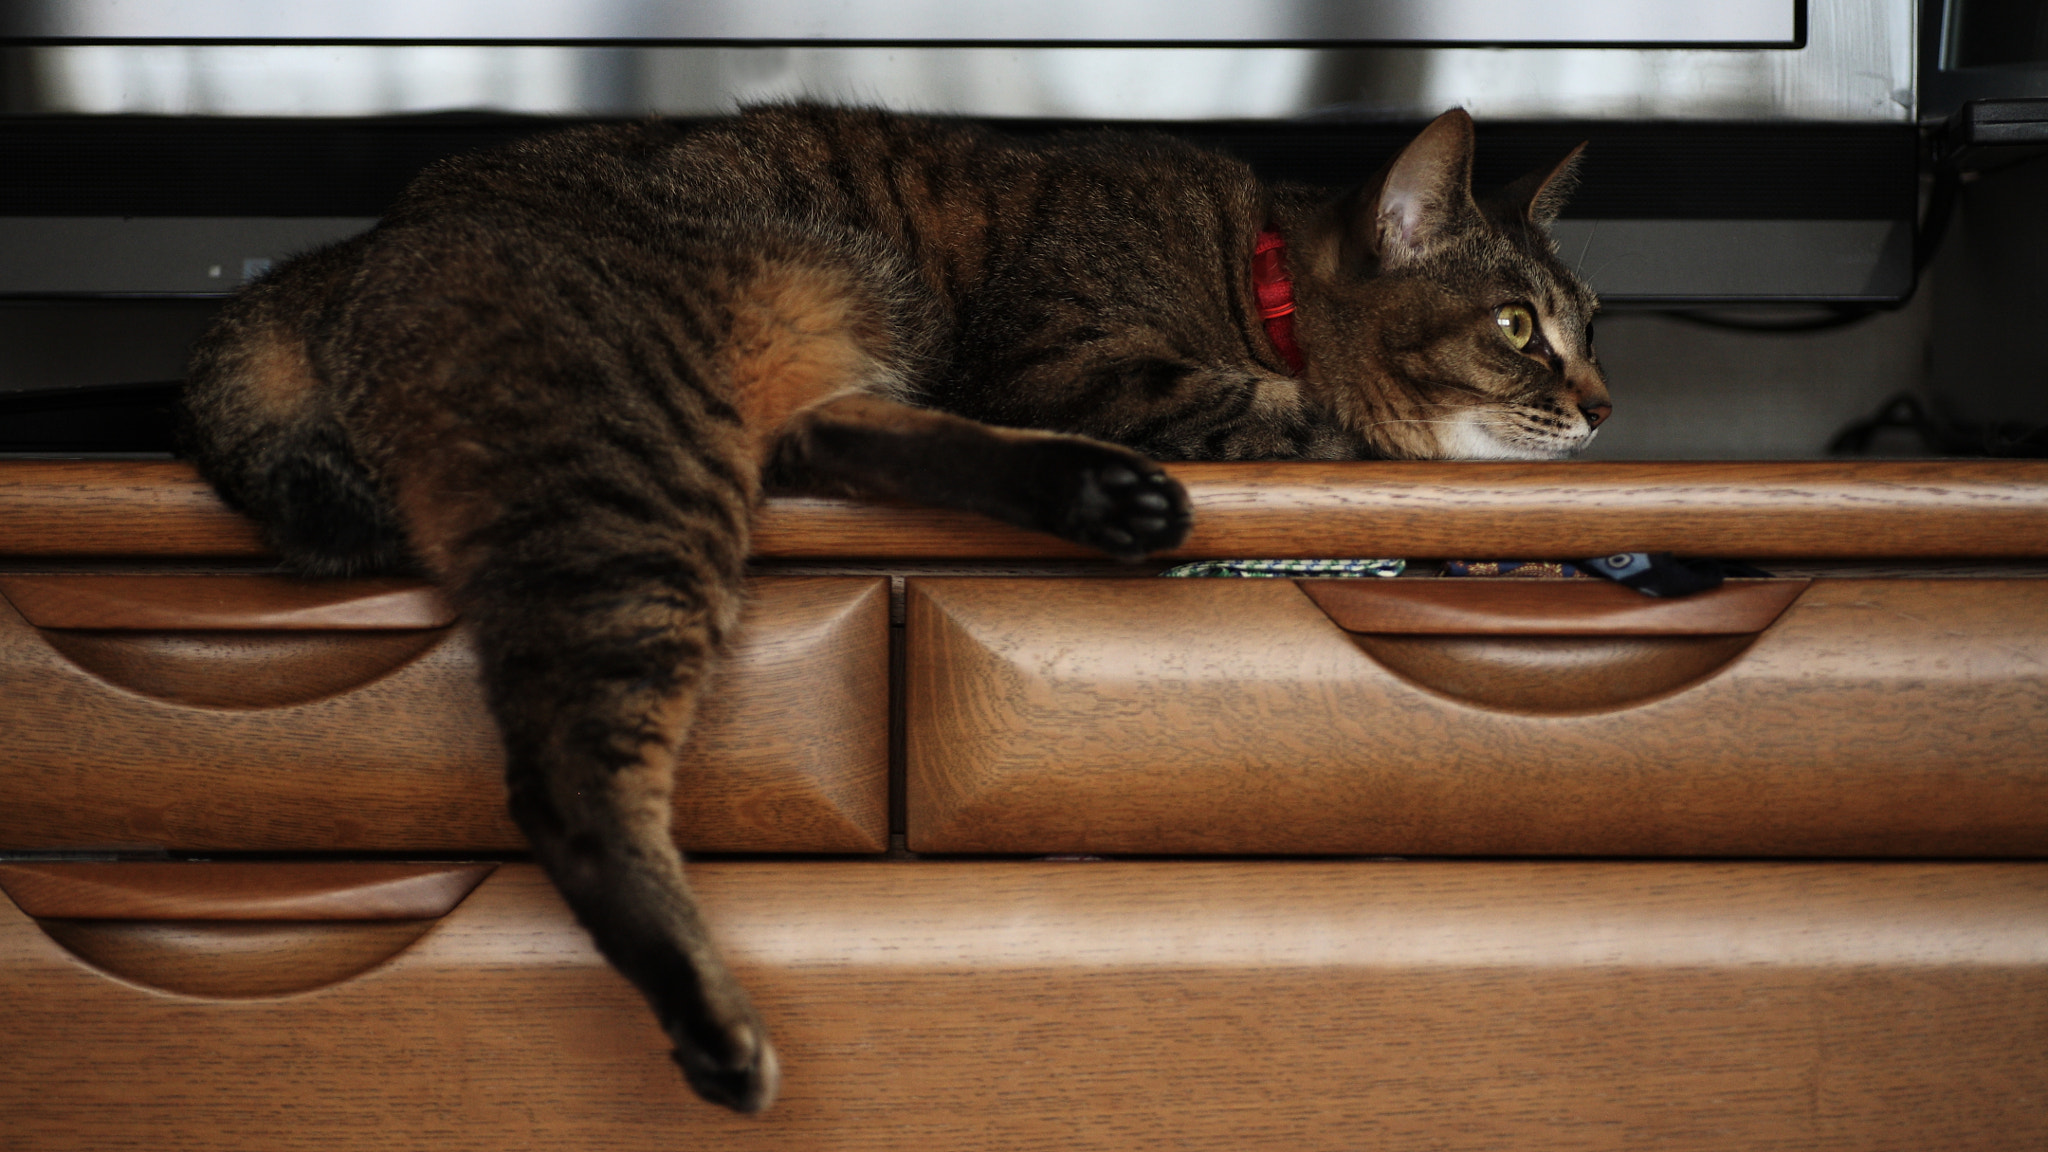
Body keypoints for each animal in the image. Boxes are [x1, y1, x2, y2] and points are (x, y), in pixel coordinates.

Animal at [180, 103, 1597, 1106]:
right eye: (1516, 327)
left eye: (1591, 326)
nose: (1601, 408)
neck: (1252, 271)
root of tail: (350, 253)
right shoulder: (1076, 363)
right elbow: (1324, 421)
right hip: (634, 459)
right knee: (565, 780)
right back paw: (713, 1027)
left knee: (841, 443)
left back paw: (1103, 498)